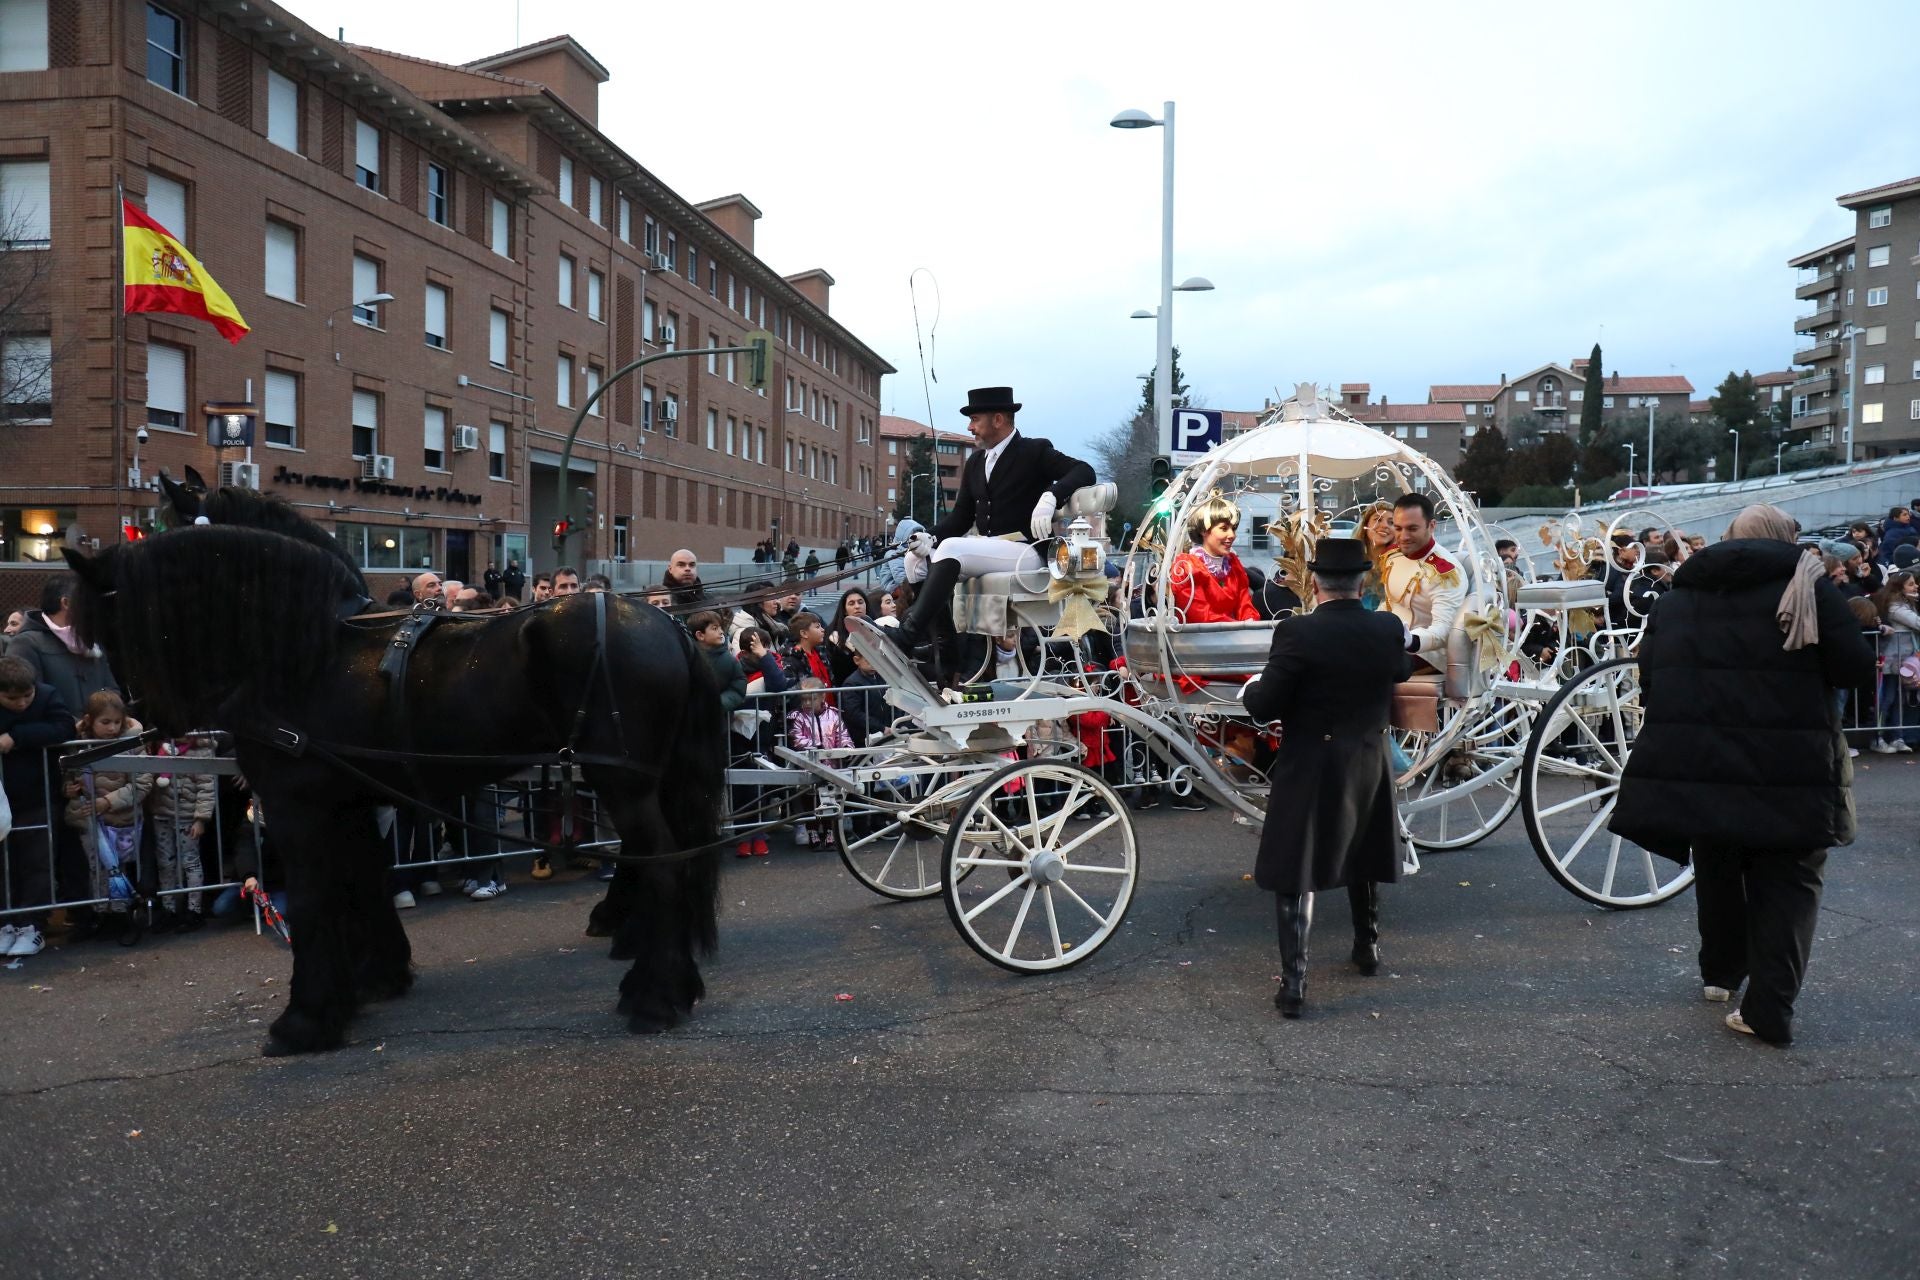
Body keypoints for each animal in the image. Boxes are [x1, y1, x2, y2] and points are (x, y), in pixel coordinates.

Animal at [65, 525, 725, 1059]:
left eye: (110, 626)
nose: (146, 714)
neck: (308, 657)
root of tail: (670, 627)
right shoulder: (352, 801)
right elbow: (366, 879)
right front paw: (375, 976)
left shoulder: (298, 809)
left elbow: (314, 901)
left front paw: (305, 1018)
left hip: (622, 781)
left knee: (663, 864)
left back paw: (655, 996)